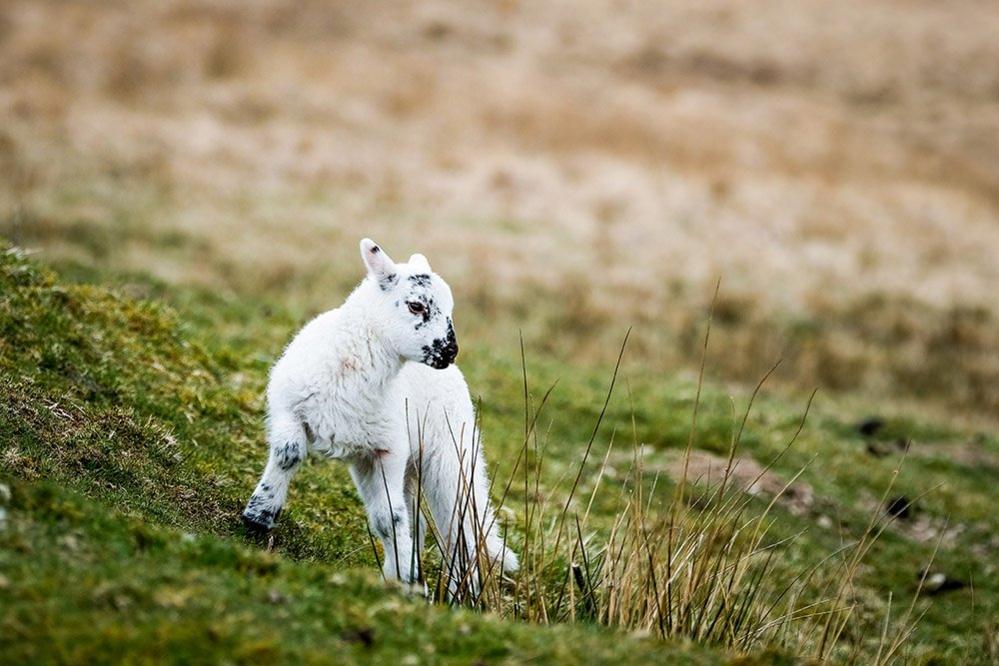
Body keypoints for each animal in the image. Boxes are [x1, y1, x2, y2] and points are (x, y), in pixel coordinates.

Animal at [241, 239, 516, 592]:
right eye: (416, 306)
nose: (450, 351)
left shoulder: (390, 450)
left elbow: (389, 517)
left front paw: (406, 577)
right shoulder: (286, 405)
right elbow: (289, 453)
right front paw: (259, 516)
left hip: (451, 454)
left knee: (459, 528)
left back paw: (457, 591)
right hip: (382, 461)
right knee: (420, 521)